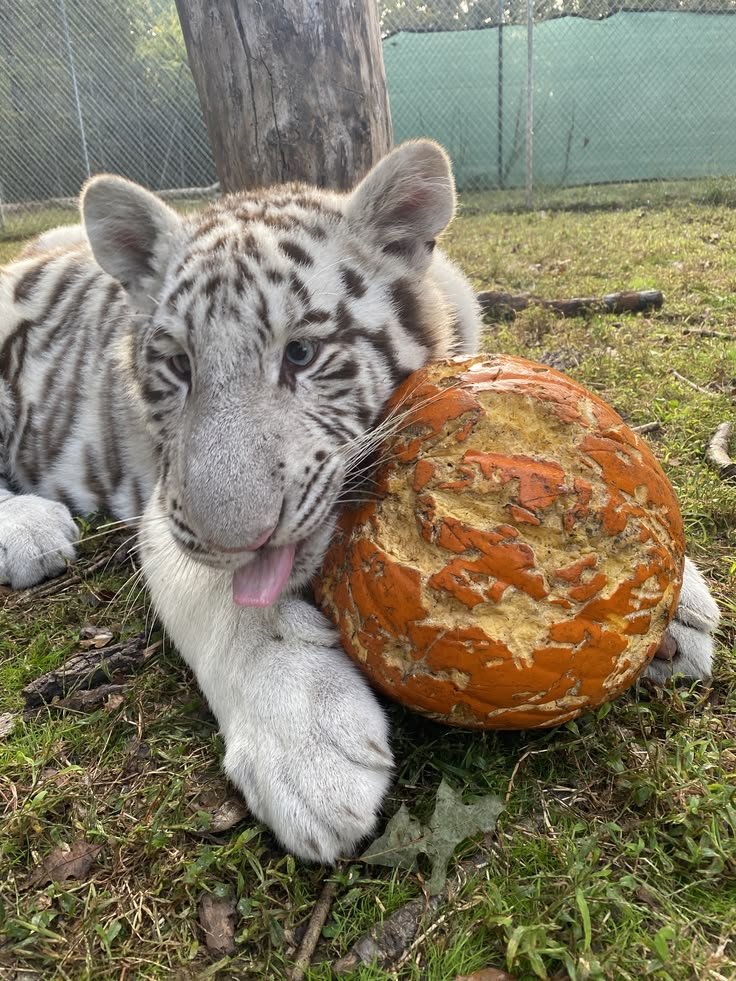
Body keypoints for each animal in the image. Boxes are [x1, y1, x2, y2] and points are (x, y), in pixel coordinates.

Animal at [0, 140, 719, 863]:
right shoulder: (166, 507)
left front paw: (679, 609)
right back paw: (31, 530)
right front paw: (309, 751)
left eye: (301, 352)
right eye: (179, 365)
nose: (235, 538)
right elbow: (218, 598)